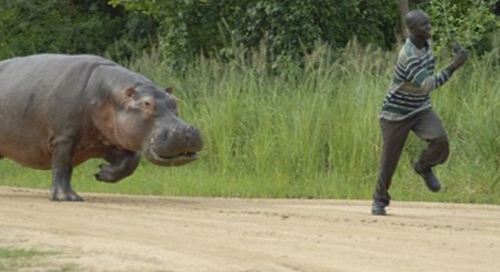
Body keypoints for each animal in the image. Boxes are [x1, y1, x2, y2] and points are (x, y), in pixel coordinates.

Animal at [0, 54, 203, 201]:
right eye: (146, 104)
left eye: (174, 101)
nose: (185, 131)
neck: (110, 96)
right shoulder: (64, 137)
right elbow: (62, 166)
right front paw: (68, 198)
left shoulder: (107, 141)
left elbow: (131, 162)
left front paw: (103, 173)